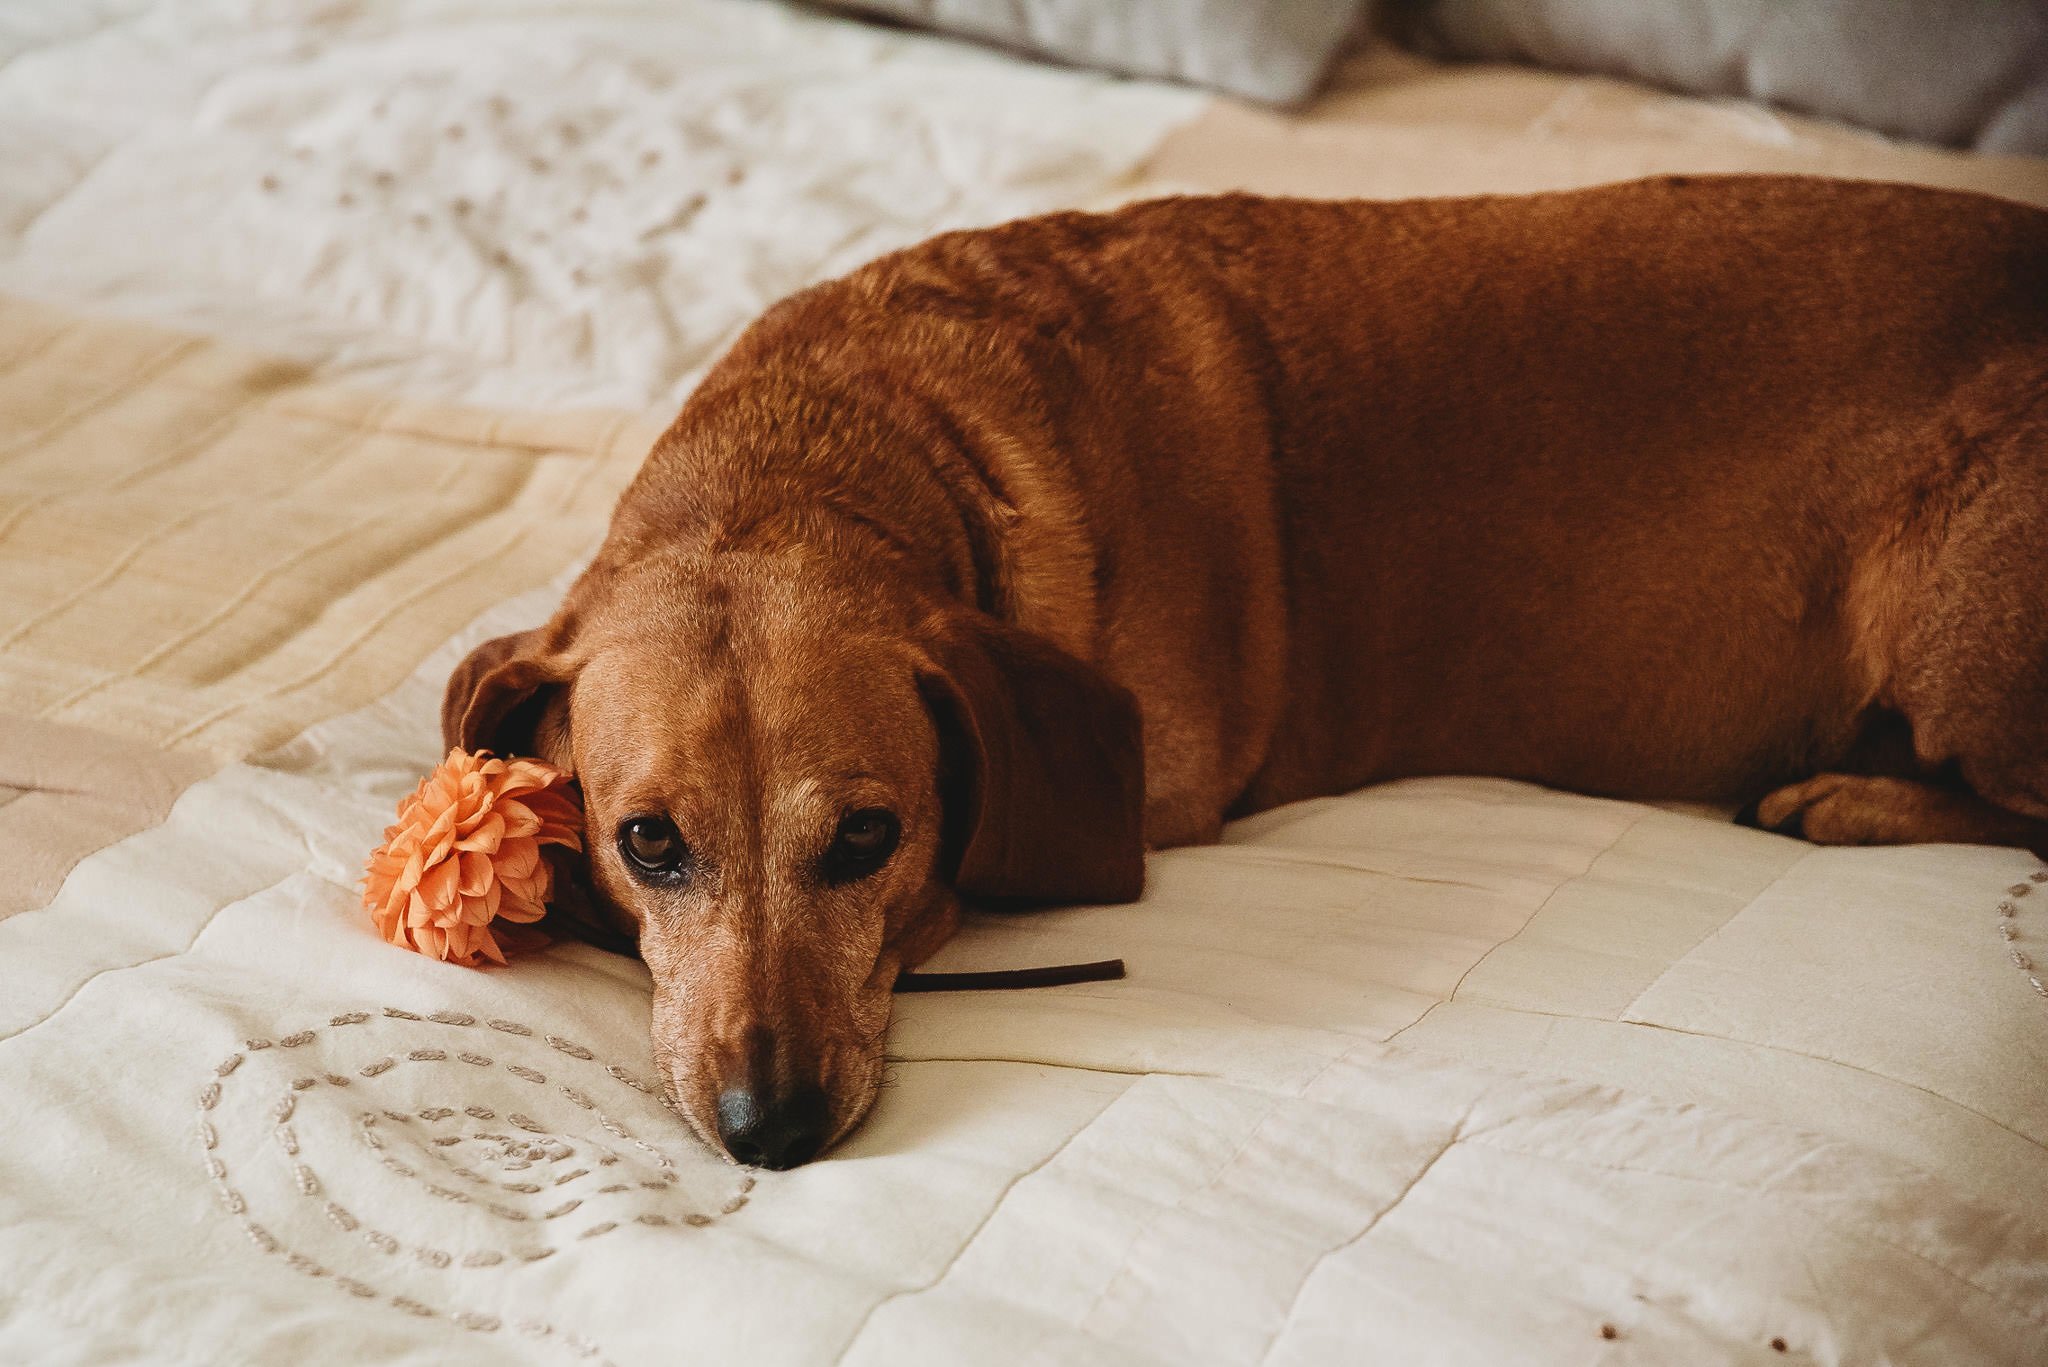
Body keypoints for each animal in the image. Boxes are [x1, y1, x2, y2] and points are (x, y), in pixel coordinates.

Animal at [444, 176, 2048, 1172]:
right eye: (649, 841)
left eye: (867, 837)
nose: (766, 1128)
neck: (850, 446)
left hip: (1954, 624)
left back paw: (1850, 796)